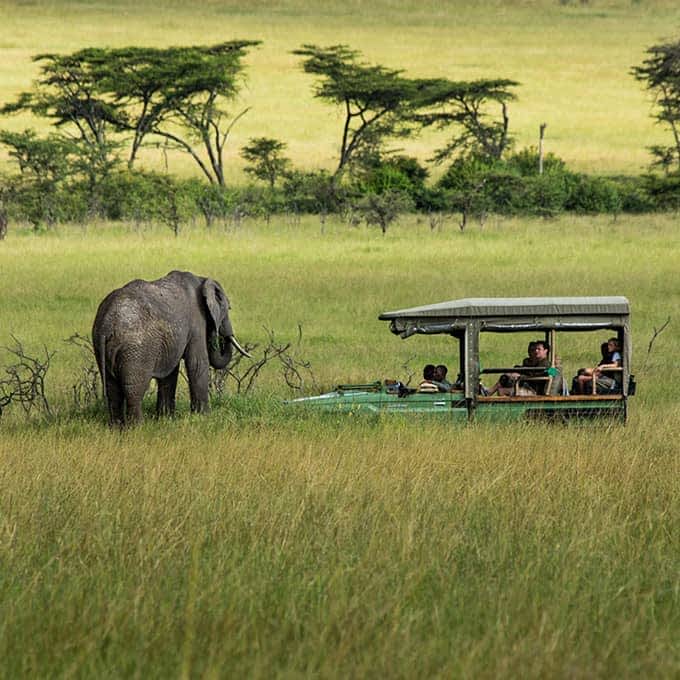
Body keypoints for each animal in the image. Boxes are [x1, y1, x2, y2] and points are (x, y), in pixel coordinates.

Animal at [91, 270, 248, 424]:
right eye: (229, 308)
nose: (219, 335)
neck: (202, 279)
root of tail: (107, 325)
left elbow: (170, 373)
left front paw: (166, 419)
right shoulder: (197, 320)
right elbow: (197, 364)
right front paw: (204, 418)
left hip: (101, 346)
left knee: (112, 389)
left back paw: (117, 427)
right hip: (135, 349)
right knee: (133, 390)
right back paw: (138, 427)